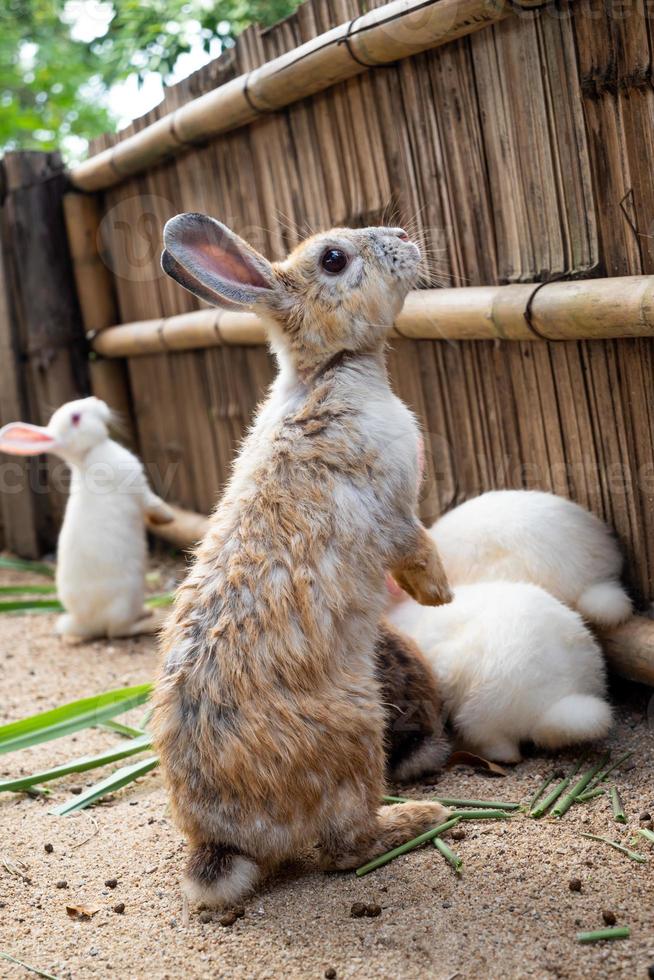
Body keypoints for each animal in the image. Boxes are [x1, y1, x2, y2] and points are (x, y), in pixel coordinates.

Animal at [0, 394, 174, 640]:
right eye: (76, 418)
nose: (96, 400)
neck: (87, 455)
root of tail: (85, 623)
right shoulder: (139, 488)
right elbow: (154, 504)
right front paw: (169, 519)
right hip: (126, 597)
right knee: (116, 631)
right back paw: (152, 620)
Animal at [152, 216, 454, 912]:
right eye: (334, 259)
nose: (405, 235)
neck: (331, 370)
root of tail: (225, 841)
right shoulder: (396, 512)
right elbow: (416, 548)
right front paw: (442, 595)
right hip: (359, 732)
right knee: (346, 847)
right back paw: (419, 820)